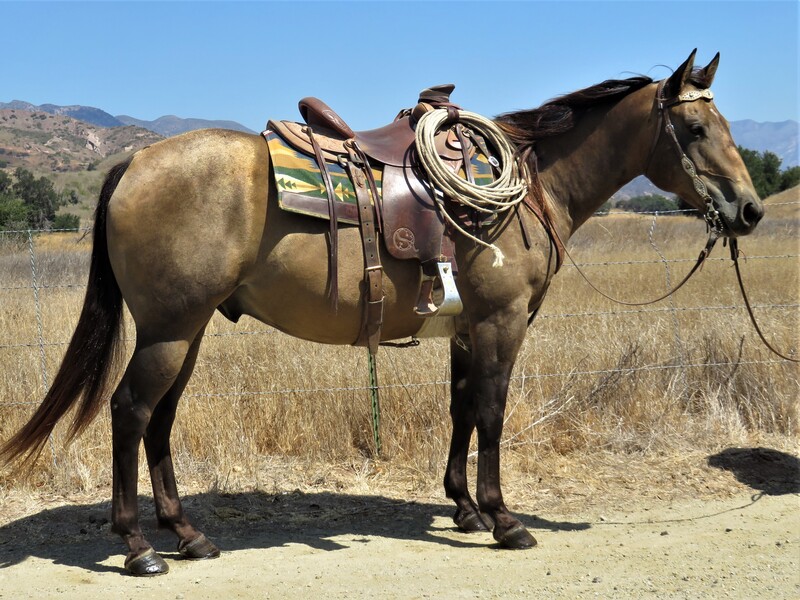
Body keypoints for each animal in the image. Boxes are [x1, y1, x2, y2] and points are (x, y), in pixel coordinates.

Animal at [0, 49, 764, 576]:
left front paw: (462, 506)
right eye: (695, 127)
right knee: (130, 413)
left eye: (723, 123)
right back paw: (137, 546)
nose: (750, 210)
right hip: (168, 331)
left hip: (184, 332)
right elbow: (492, 412)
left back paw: (186, 535)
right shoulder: (502, 321)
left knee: (158, 420)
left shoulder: (467, 327)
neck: (532, 186)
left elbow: (461, 408)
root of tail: (137, 160)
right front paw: (503, 517)